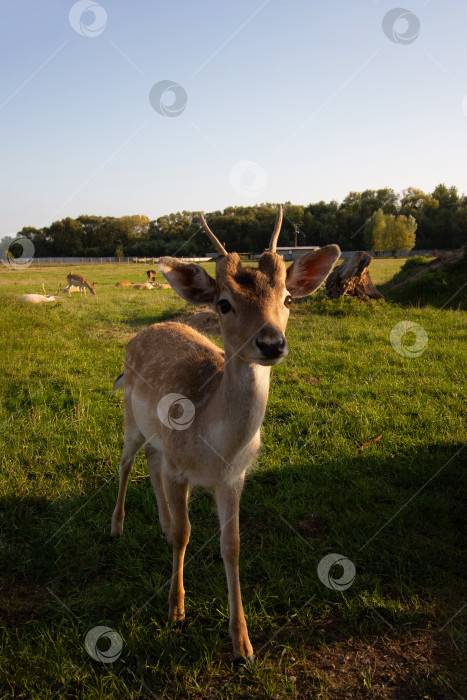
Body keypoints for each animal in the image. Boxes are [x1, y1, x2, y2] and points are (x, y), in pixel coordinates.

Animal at [112, 205, 342, 664]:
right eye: (223, 304)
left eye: (288, 299)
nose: (271, 343)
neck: (213, 449)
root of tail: (142, 333)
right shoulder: (181, 469)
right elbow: (185, 535)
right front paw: (176, 610)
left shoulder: (234, 477)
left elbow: (231, 545)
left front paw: (243, 644)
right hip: (130, 416)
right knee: (127, 460)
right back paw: (117, 525)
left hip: (156, 437)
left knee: (150, 461)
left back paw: (160, 522)